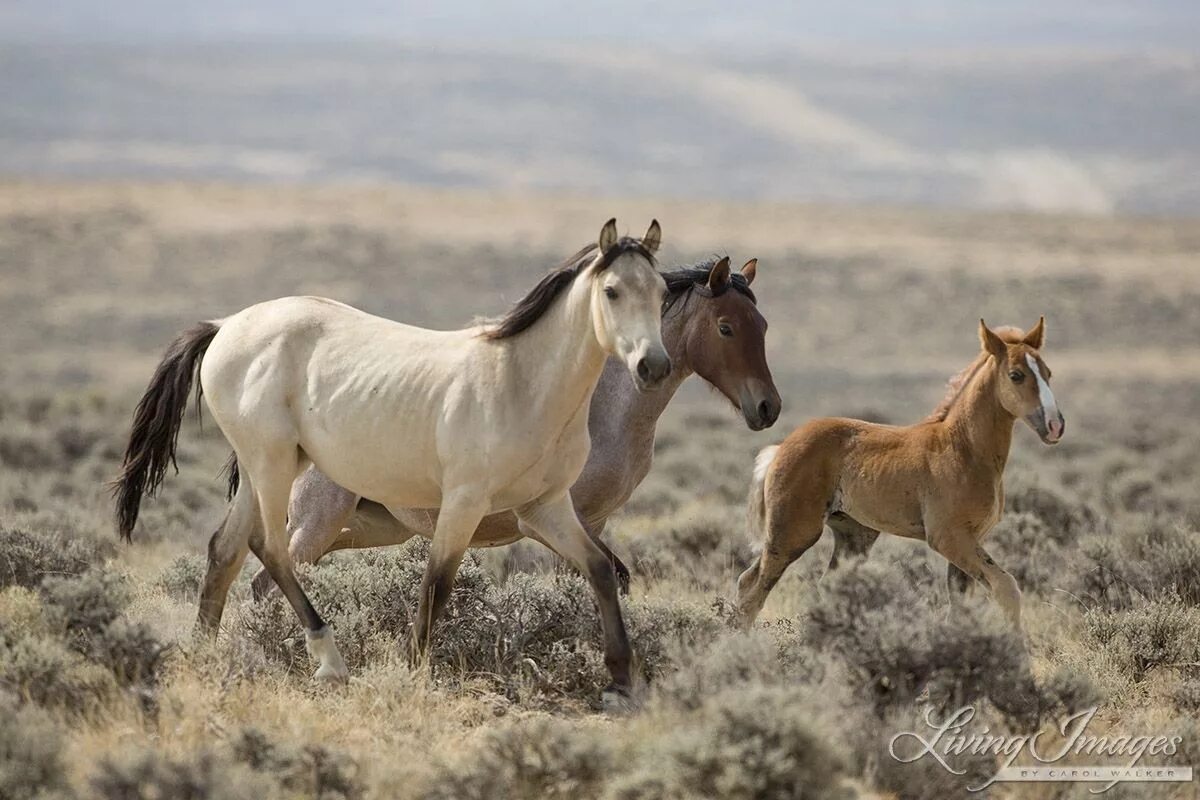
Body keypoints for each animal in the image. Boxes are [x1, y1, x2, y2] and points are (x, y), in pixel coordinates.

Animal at [113, 219, 672, 700]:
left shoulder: (546, 507)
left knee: (225, 551)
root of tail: (226, 325)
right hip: (272, 465)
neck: (521, 384)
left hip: (263, 468)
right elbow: (437, 584)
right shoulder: (465, 501)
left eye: (662, 292)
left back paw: (203, 655)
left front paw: (623, 679)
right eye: (612, 291)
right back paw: (330, 661)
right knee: (269, 549)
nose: (654, 365)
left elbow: (600, 570)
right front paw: (416, 670)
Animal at [248, 256, 782, 599]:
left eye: (762, 324)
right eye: (726, 327)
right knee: (266, 584)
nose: (767, 407)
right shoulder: (548, 519)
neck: (600, 411)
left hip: (365, 529)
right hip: (317, 524)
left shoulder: (593, 521)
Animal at [734, 319, 1065, 633]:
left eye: (1048, 373)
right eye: (1016, 375)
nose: (1055, 425)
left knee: (809, 585)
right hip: (792, 533)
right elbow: (1006, 587)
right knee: (753, 588)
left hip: (855, 535)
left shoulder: (969, 540)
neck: (964, 449)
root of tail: (780, 448)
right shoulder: (948, 537)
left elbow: (960, 605)